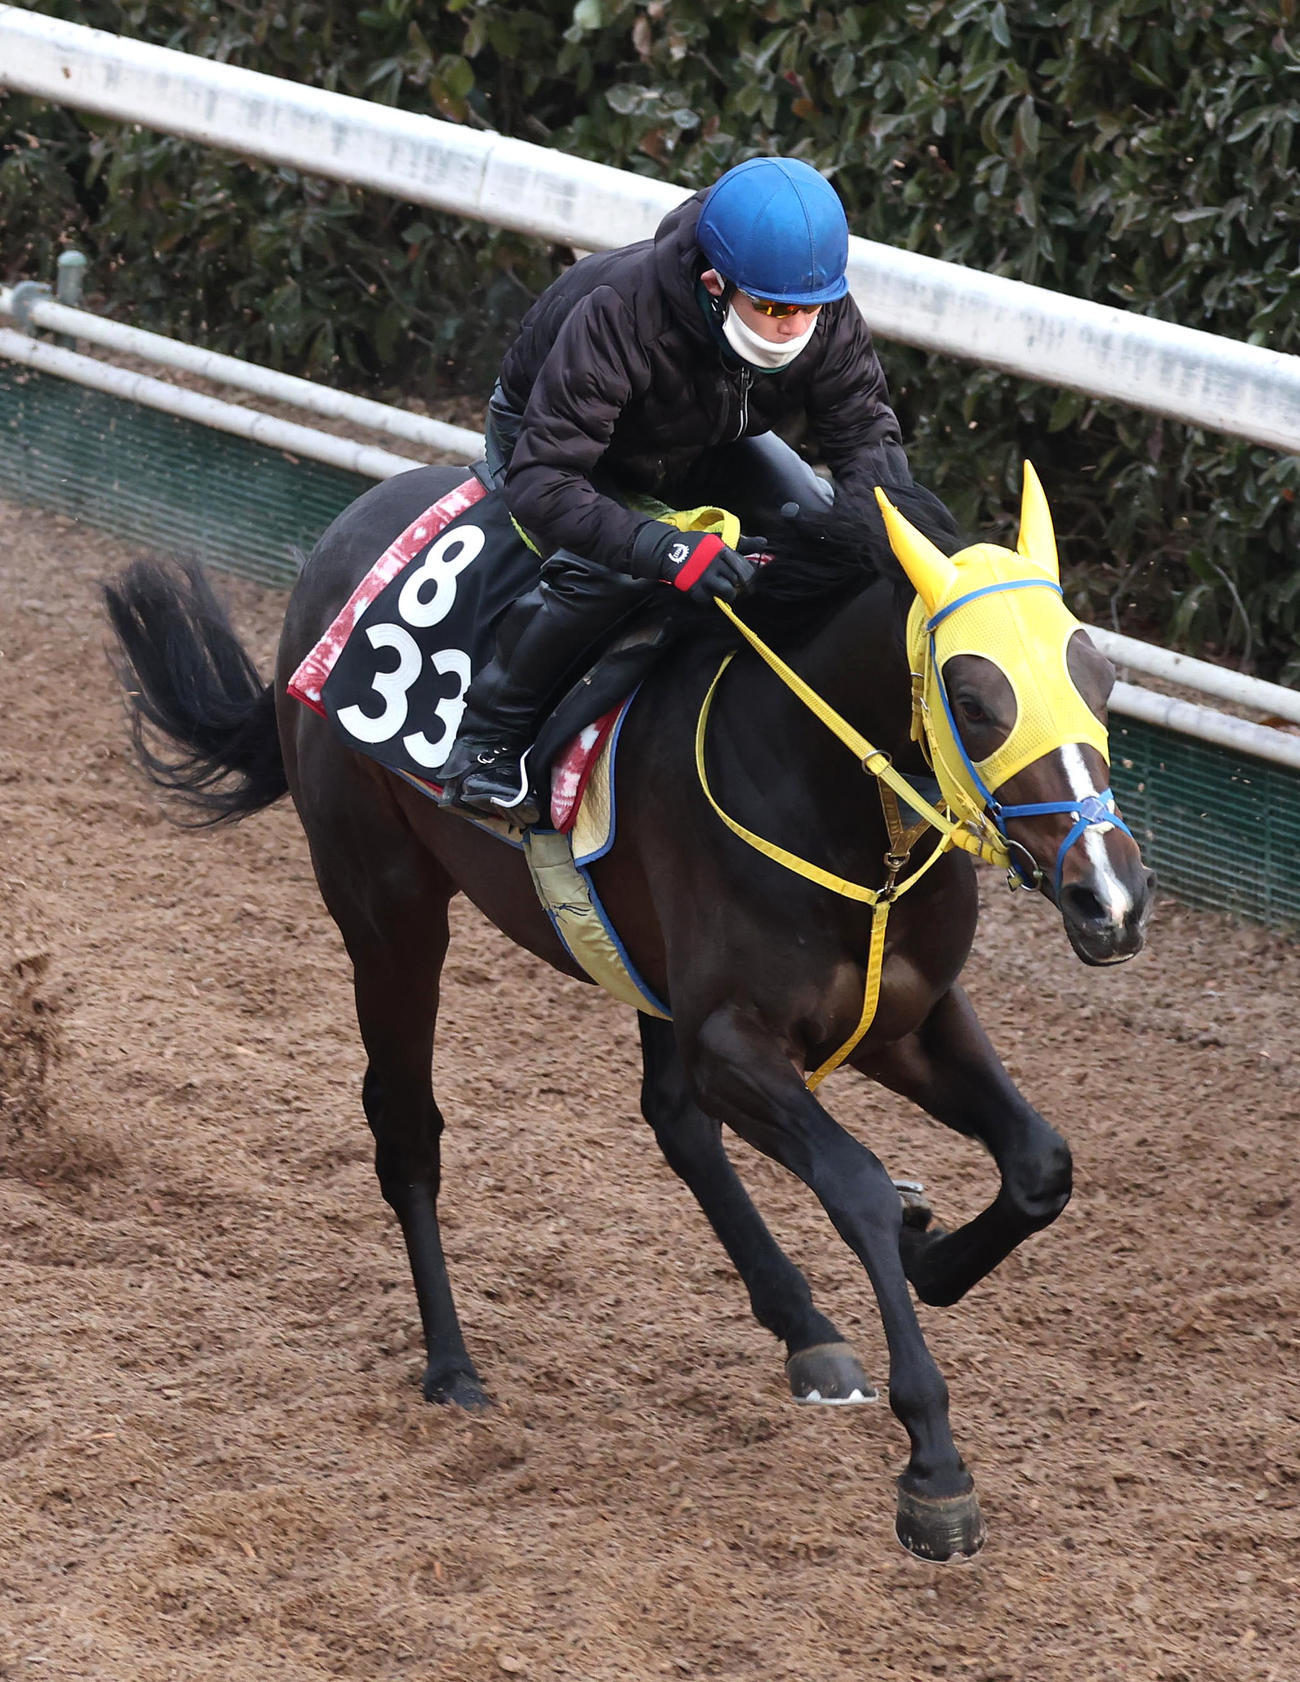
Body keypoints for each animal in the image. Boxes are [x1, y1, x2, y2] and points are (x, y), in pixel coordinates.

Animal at [103, 460, 1154, 1562]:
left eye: (1097, 678)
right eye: (974, 693)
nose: (1109, 896)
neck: (825, 792)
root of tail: (352, 524)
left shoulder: (901, 1016)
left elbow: (1038, 1162)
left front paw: (928, 1252)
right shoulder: (735, 1041)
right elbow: (856, 1184)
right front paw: (935, 1470)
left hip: (632, 961)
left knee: (672, 1118)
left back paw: (805, 1327)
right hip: (387, 910)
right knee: (408, 1127)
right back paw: (452, 1364)